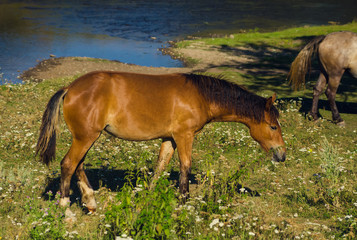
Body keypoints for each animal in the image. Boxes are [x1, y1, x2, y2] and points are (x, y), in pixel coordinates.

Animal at [36, 71, 286, 212]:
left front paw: (149, 196)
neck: (200, 96)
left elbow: (160, 167)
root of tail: (70, 88)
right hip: (86, 137)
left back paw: (90, 202)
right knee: (68, 164)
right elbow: (185, 166)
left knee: (78, 165)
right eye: (273, 126)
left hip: (87, 137)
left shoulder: (169, 138)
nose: (282, 154)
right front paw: (184, 201)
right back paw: (66, 208)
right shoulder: (184, 136)